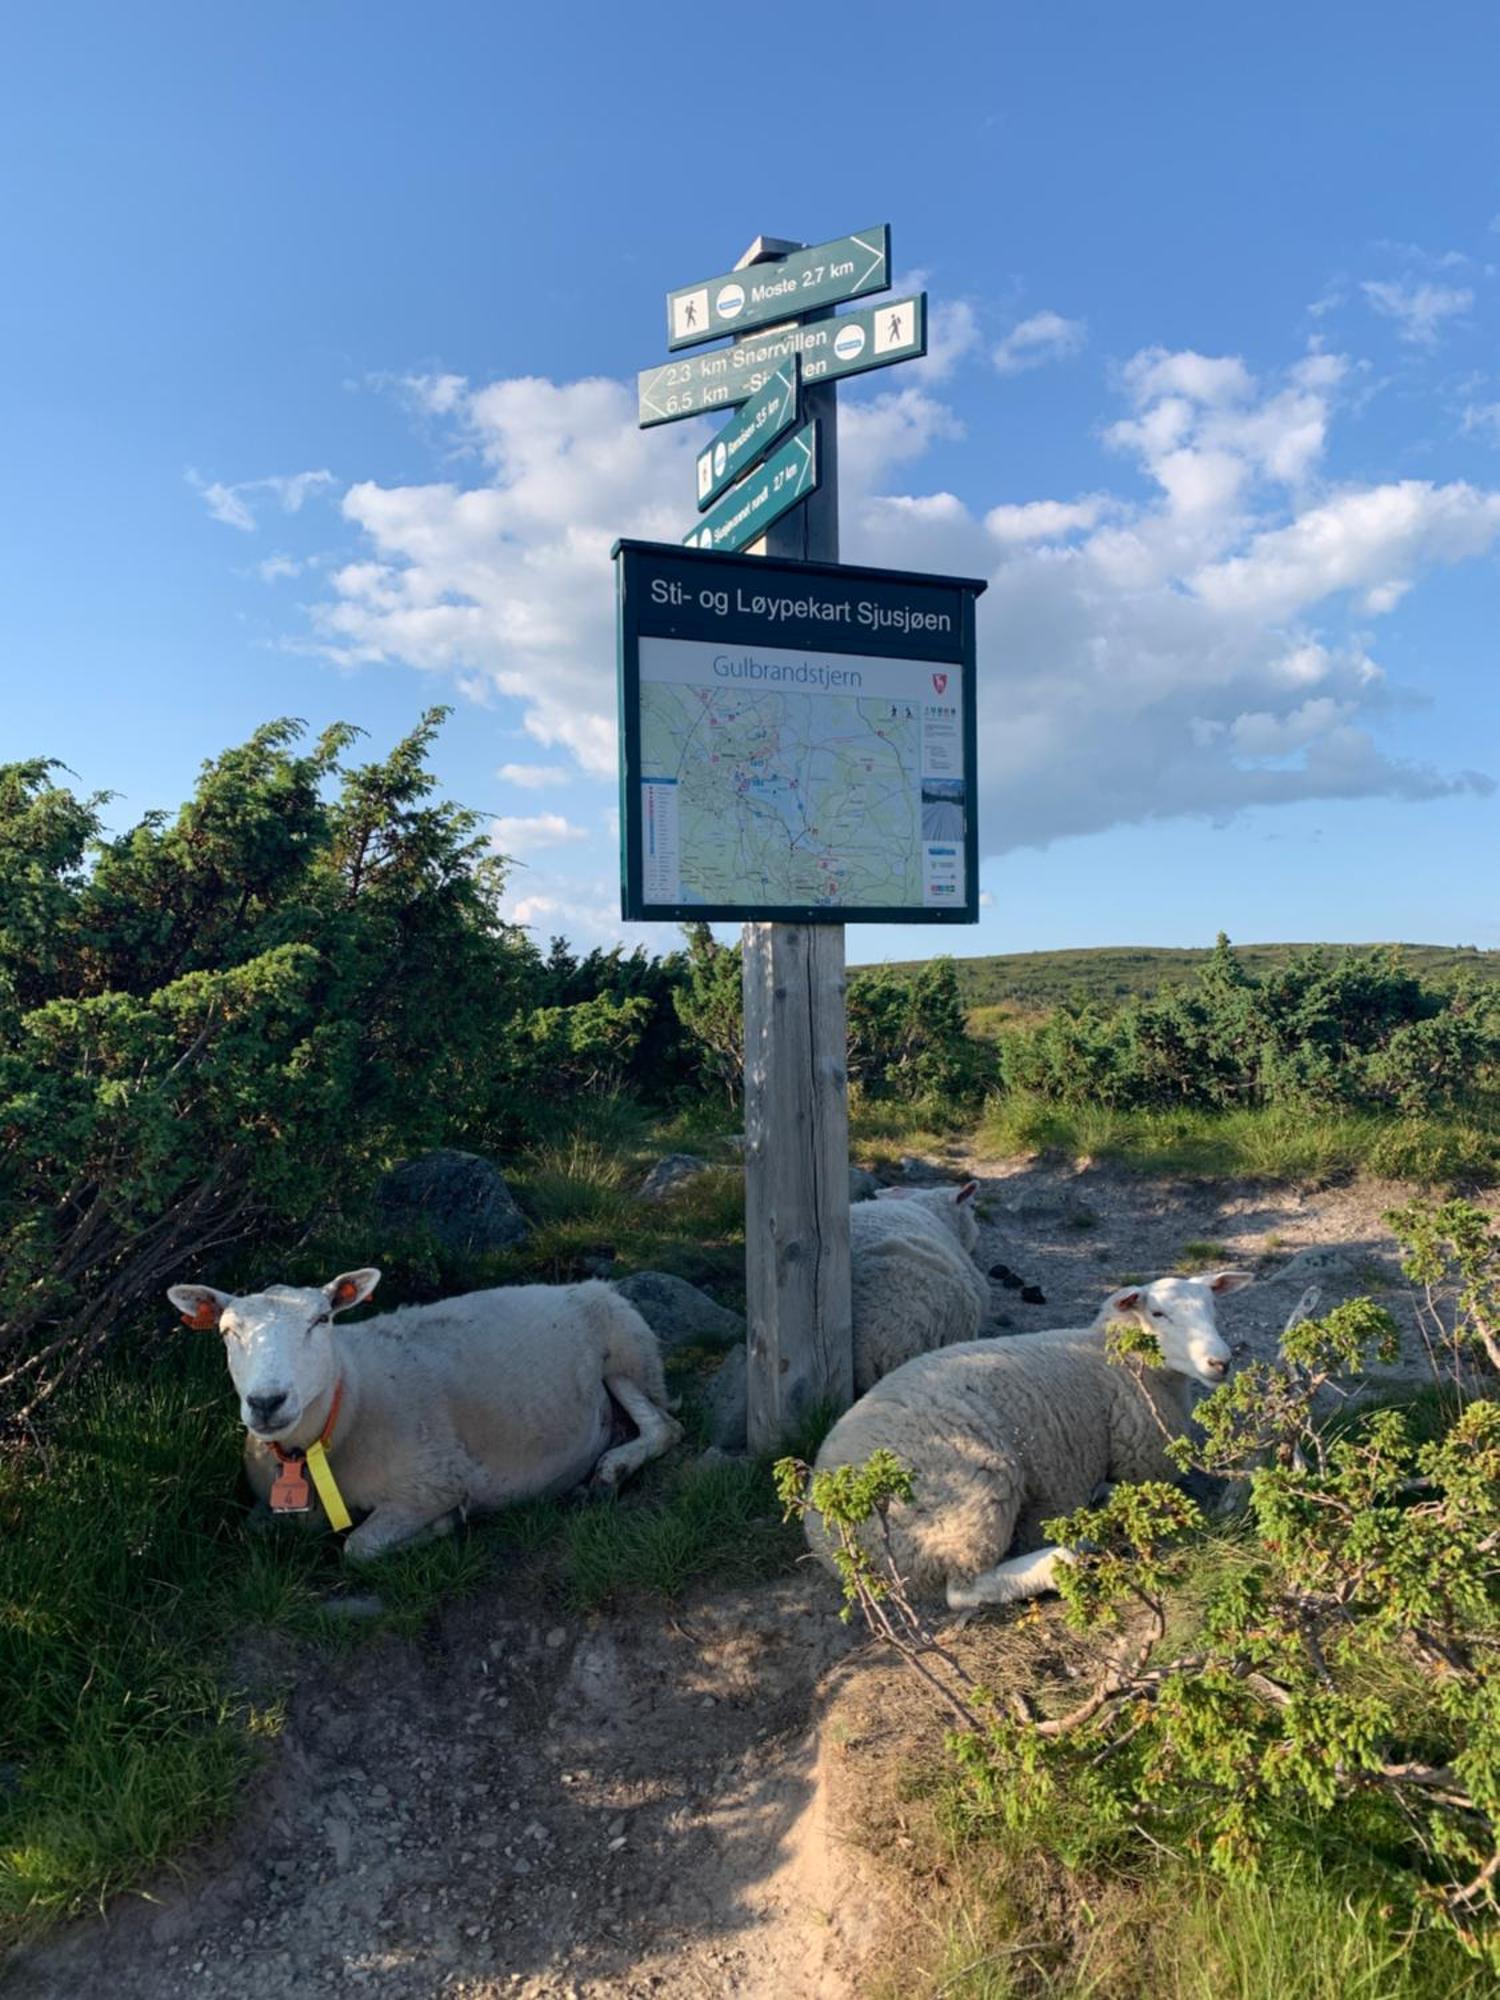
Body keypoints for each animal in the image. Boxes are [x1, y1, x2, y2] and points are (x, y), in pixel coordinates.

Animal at [169, 1264, 680, 1560]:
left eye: (322, 1320)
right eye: (227, 1332)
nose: (266, 1402)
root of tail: (588, 1285)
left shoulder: (432, 1482)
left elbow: (357, 1547)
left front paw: (444, 1526)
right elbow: (252, 1532)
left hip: (626, 1357)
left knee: (664, 1427)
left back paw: (609, 1472)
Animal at [812, 1272, 1256, 1616]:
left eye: (1212, 1310)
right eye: (1158, 1314)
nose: (1221, 1361)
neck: (1108, 1356)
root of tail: (825, 1535)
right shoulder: (1140, 1464)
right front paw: (1102, 1502)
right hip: (969, 1498)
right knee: (963, 1590)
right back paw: (1066, 1553)